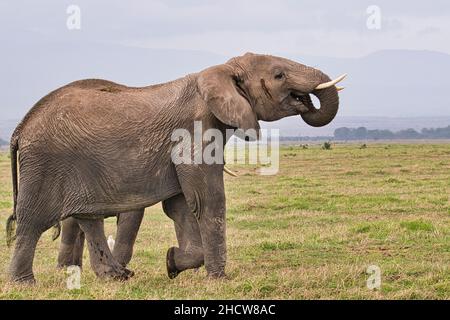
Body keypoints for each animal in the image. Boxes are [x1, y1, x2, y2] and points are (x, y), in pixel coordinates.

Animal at [4, 52, 344, 282]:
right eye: (279, 75)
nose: (307, 101)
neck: (219, 71)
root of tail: (21, 128)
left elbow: (181, 206)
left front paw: (172, 262)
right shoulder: (194, 130)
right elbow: (208, 200)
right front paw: (217, 279)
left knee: (87, 218)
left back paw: (117, 276)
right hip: (44, 164)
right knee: (31, 222)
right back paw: (25, 284)